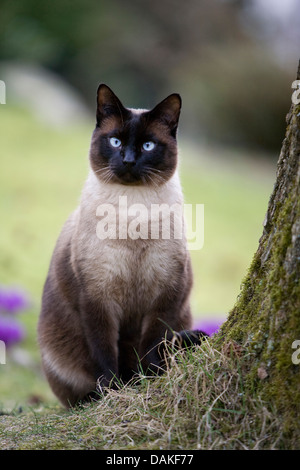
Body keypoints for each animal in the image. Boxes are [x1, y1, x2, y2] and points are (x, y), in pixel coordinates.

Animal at [38, 85, 206, 408]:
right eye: (115, 142)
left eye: (148, 146)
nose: (128, 160)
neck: (133, 215)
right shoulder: (97, 299)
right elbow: (105, 352)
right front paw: (112, 390)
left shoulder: (165, 293)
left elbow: (153, 343)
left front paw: (152, 379)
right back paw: (103, 394)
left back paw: (141, 377)